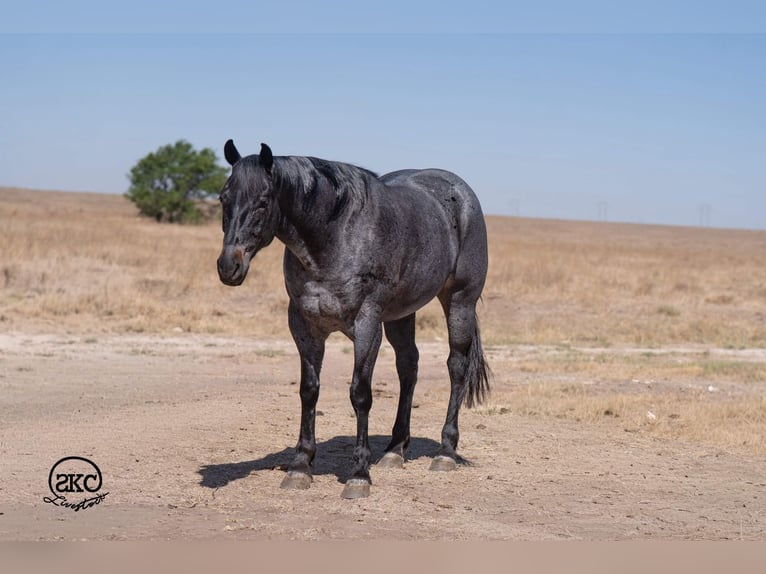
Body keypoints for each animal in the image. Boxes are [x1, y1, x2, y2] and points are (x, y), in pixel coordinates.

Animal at [216, 139, 490, 499]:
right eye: (223, 198)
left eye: (263, 201)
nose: (228, 266)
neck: (334, 236)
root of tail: (461, 192)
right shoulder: (304, 325)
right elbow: (309, 390)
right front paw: (300, 466)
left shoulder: (367, 324)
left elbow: (360, 393)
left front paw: (359, 474)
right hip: (402, 314)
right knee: (409, 366)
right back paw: (394, 450)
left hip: (459, 301)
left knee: (456, 366)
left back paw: (445, 452)